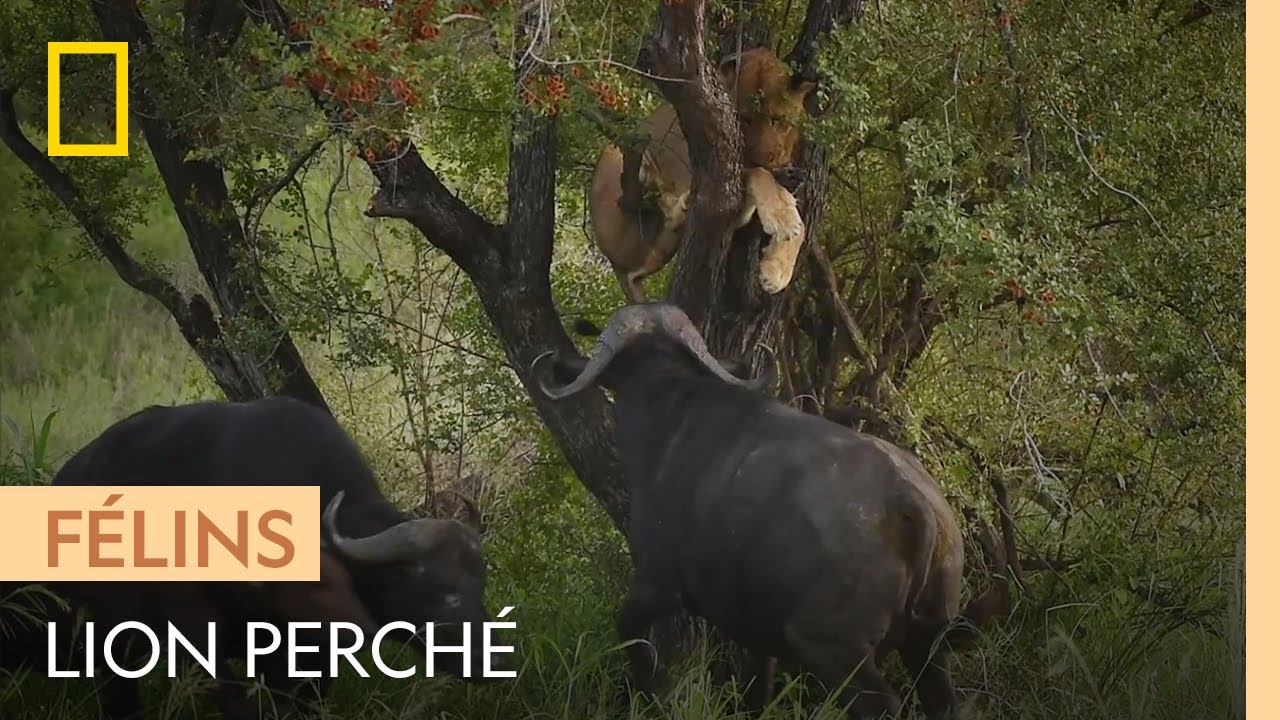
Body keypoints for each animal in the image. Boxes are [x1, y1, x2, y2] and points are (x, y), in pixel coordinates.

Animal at [532, 302, 1008, 717]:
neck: (668, 413)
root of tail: (911, 500)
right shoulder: (755, 632)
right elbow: (755, 691)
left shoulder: (656, 585)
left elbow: (629, 637)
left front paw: (650, 695)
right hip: (926, 646)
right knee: (942, 702)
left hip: (831, 649)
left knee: (882, 705)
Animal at [586, 46, 814, 301]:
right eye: (744, 119)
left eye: (777, 120)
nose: (768, 158)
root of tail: (614, 262)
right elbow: (760, 175)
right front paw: (783, 219)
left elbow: (801, 225)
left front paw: (777, 271)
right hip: (621, 153)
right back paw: (684, 204)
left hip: (659, 249)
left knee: (641, 266)